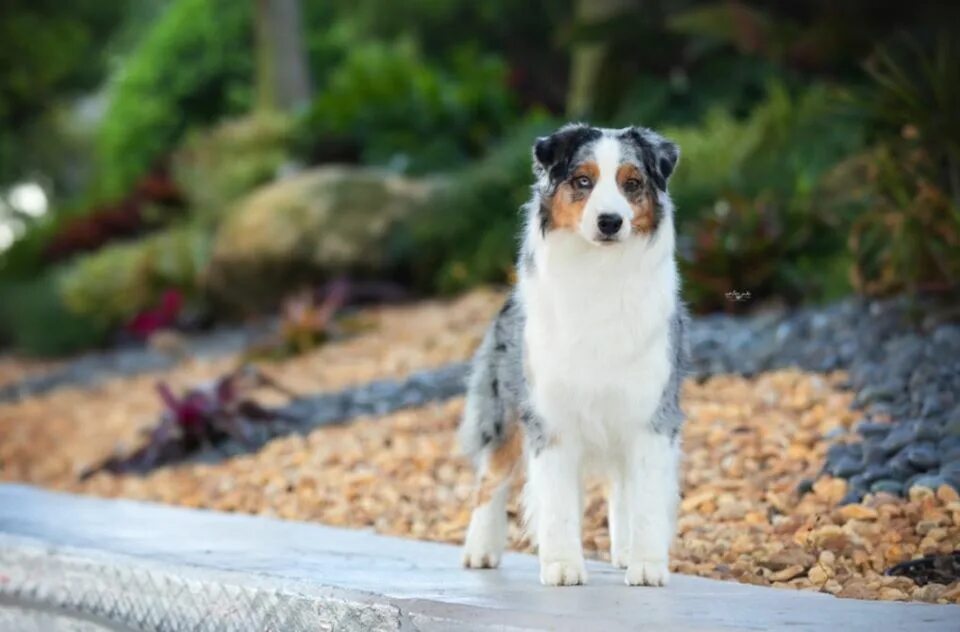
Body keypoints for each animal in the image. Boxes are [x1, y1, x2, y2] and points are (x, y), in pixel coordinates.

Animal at [462, 123, 688, 588]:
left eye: (631, 183)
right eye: (583, 181)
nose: (610, 221)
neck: (599, 271)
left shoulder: (651, 414)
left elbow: (647, 498)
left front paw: (647, 565)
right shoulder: (549, 417)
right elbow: (557, 504)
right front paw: (564, 566)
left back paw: (624, 552)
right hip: (503, 411)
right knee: (490, 477)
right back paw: (480, 550)